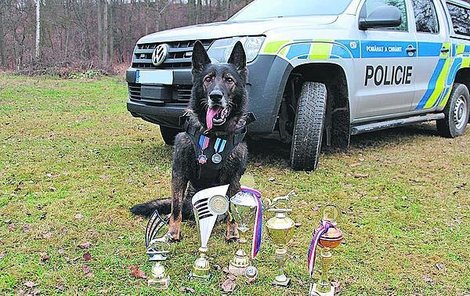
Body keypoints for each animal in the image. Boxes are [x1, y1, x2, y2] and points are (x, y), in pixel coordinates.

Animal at [130, 40, 252, 242]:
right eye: (208, 79)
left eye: (229, 80)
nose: (215, 96)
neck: (214, 134)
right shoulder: (179, 172)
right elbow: (176, 207)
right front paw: (173, 232)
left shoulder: (233, 178)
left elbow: (232, 209)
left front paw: (232, 232)